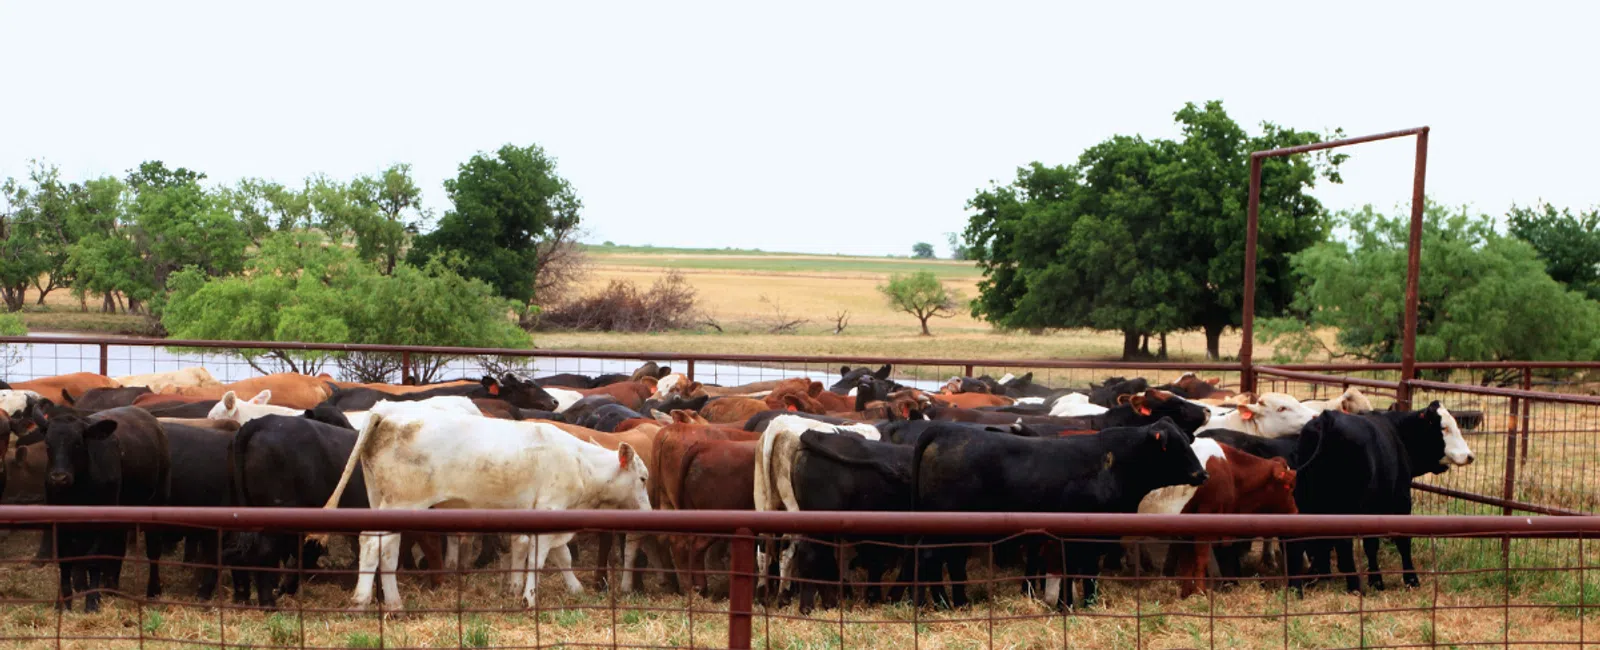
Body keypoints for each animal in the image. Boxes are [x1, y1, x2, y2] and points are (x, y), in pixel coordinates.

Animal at [22, 406, 169, 611]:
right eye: (48, 444)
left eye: (77, 443)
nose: (59, 477)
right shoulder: (60, 522)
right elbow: (66, 560)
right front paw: (63, 602)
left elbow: (93, 559)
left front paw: (92, 601)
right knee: (118, 547)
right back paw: (111, 586)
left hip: (156, 503)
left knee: (153, 550)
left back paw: (153, 591)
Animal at [317, 402, 652, 609]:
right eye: (643, 478)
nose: (650, 514)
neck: (579, 463)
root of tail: (385, 410)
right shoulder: (550, 510)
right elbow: (540, 558)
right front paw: (529, 598)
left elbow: (559, 556)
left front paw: (572, 589)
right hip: (402, 503)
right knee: (372, 545)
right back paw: (361, 602)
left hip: (383, 501)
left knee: (387, 552)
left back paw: (395, 604)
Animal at [909, 419, 1207, 609]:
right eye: (1175, 446)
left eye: (1187, 440)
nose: (1201, 474)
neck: (1113, 464)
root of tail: (944, 429)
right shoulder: (1083, 536)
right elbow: (1081, 570)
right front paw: (1077, 605)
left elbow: (1079, 571)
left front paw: (1075, 603)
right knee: (932, 558)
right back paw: (942, 605)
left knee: (949, 560)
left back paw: (959, 603)